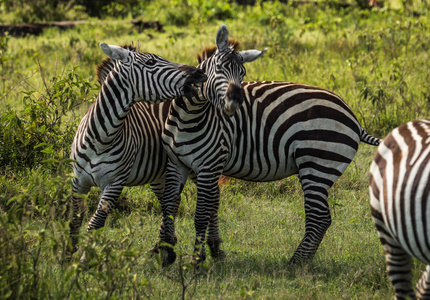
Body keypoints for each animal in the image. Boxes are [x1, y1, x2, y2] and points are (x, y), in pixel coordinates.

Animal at [66, 43, 207, 262]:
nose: (199, 73)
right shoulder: (77, 181)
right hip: (159, 175)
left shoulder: (115, 183)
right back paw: (163, 245)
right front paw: (68, 256)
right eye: (150, 62)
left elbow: (96, 223)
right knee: (171, 203)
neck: (101, 139)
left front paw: (83, 260)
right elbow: (75, 220)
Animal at [160, 72, 382, 262]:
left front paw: (190, 255)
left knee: (319, 217)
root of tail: (353, 118)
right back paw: (304, 260)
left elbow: (199, 209)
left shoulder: (208, 162)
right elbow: (172, 205)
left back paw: (297, 262)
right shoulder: (181, 164)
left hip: (317, 163)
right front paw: (167, 248)